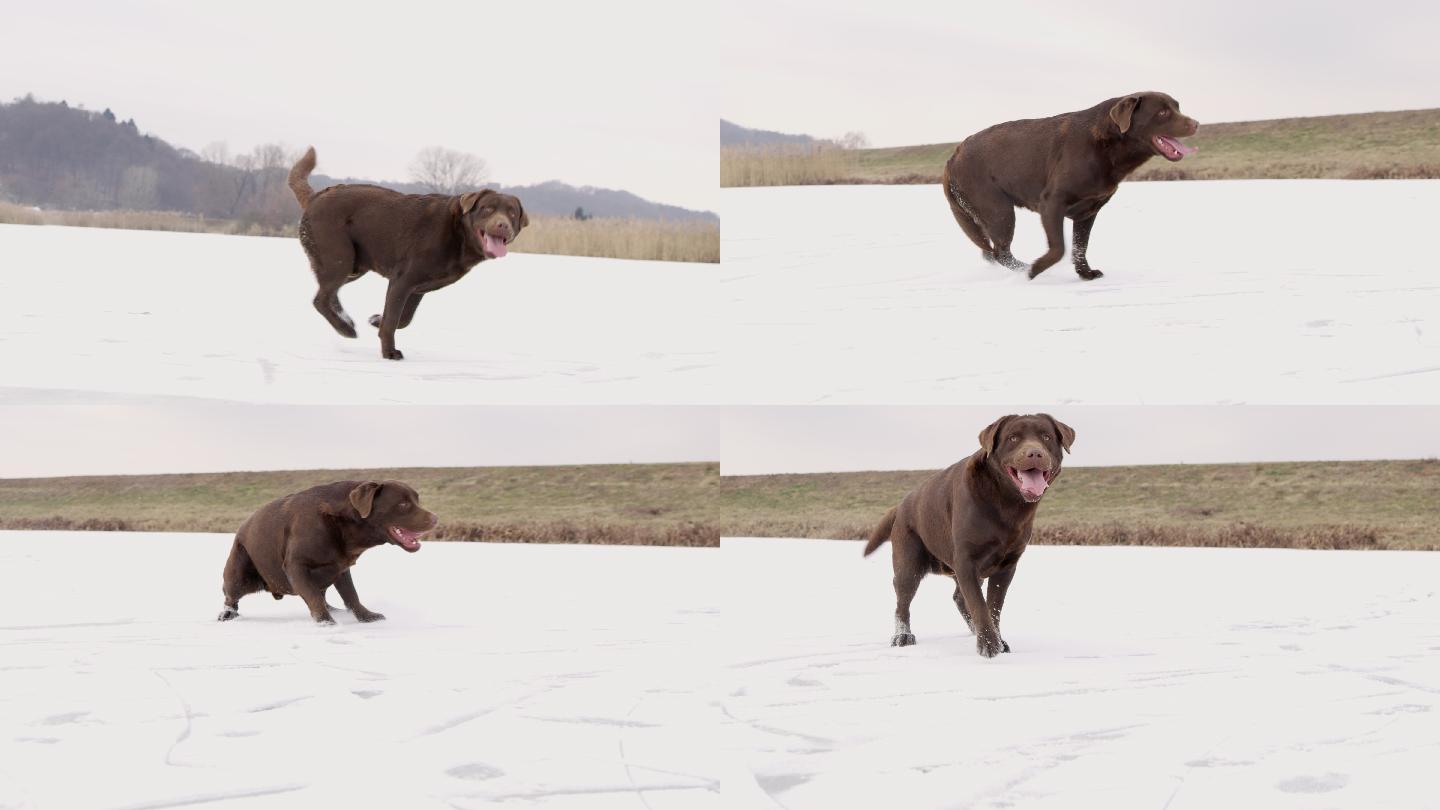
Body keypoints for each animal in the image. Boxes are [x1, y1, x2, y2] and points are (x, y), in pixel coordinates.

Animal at [216, 478, 434, 625]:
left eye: (417, 500)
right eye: (403, 504)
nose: (435, 519)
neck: (341, 524)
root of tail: (241, 527)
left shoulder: (341, 568)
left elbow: (351, 595)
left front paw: (366, 616)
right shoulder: (296, 566)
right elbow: (312, 596)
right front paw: (326, 622)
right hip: (240, 571)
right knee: (231, 595)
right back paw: (227, 614)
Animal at [286, 148, 529, 355]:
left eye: (512, 213)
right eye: (487, 209)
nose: (502, 225)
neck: (458, 233)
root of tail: (315, 197)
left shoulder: (417, 289)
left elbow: (404, 319)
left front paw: (376, 319)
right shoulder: (402, 281)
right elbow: (393, 320)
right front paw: (390, 353)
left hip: (354, 265)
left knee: (327, 293)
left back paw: (345, 321)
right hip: (339, 257)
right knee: (321, 298)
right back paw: (346, 329)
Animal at [858, 412, 1077, 651]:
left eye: (1046, 437)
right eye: (1013, 438)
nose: (1035, 453)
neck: (1007, 502)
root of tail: (901, 505)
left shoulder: (1006, 566)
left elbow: (993, 607)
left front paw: (996, 640)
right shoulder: (966, 560)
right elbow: (979, 604)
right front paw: (989, 646)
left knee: (959, 598)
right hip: (909, 563)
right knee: (902, 602)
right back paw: (902, 636)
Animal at [938, 91, 1198, 279]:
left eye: (1177, 107)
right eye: (1162, 112)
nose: (1196, 123)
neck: (1107, 147)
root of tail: (952, 159)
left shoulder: (1088, 212)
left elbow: (1079, 247)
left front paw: (1085, 273)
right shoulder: (1051, 203)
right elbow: (1059, 248)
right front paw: (1036, 269)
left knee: (992, 252)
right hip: (998, 210)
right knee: (1000, 252)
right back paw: (1024, 268)